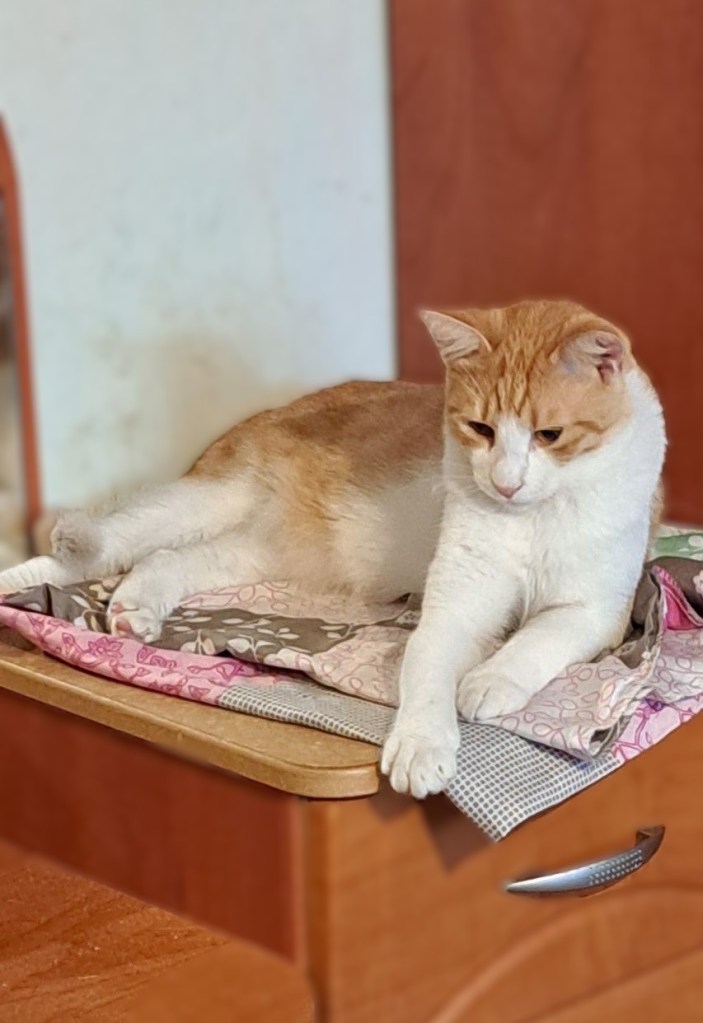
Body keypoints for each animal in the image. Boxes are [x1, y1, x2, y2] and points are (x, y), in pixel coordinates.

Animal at [0, 300, 665, 798]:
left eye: (550, 435)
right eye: (480, 429)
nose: (505, 482)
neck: (531, 518)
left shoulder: (596, 611)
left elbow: (537, 638)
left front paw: (488, 680)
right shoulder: (456, 604)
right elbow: (428, 667)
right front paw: (421, 744)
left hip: (249, 550)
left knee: (165, 560)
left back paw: (135, 609)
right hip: (207, 501)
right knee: (108, 544)